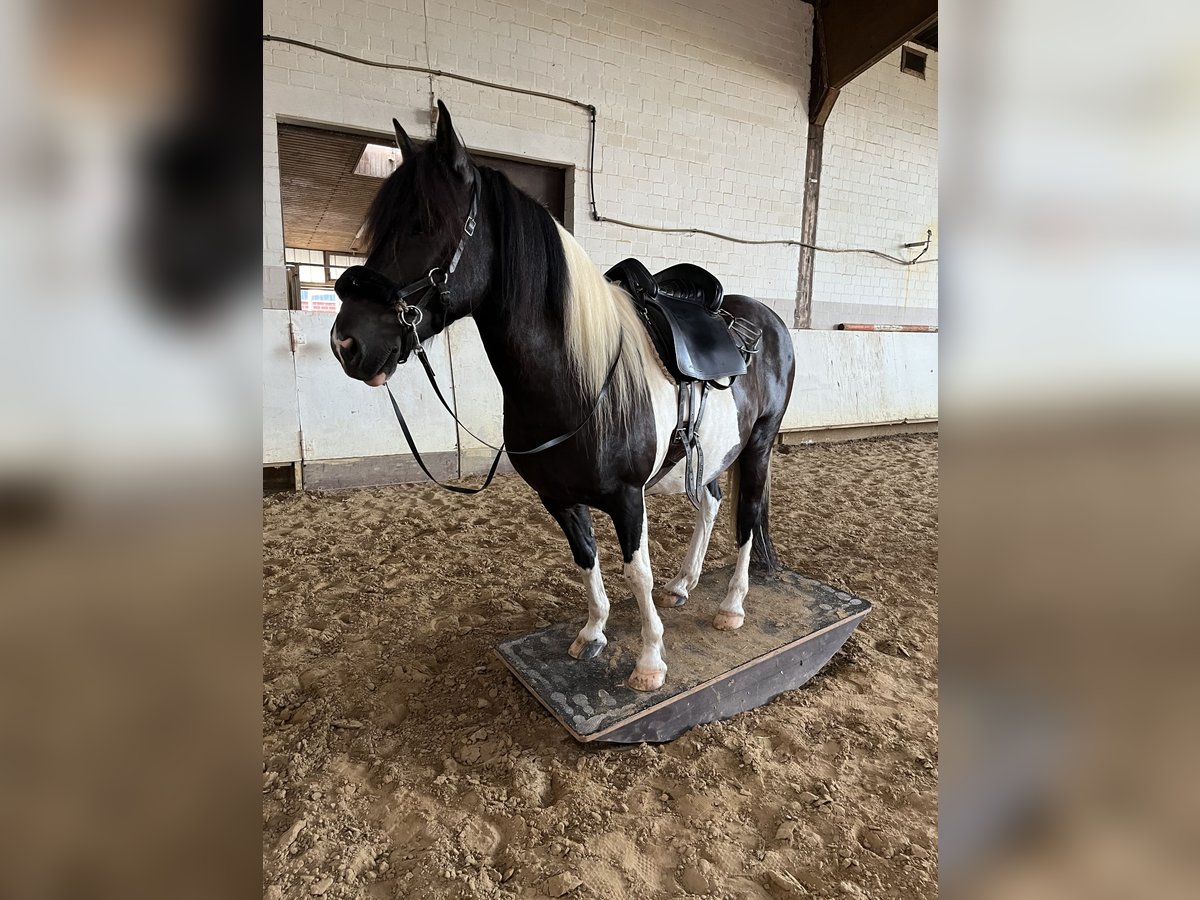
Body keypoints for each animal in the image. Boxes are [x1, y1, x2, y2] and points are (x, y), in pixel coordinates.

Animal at [331, 103, 796, 691]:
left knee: (747, 517)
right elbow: (585, 557)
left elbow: (635, 572)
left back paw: (732, 606)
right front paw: (593, 632)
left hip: (757, 446)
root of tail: (767, 318)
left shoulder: (627, 497)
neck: (577, 382)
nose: (346, 343)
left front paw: (649, 660)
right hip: (712, 452)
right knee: (711, 503)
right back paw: (685, 584)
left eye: (424, 223)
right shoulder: (556, 497)